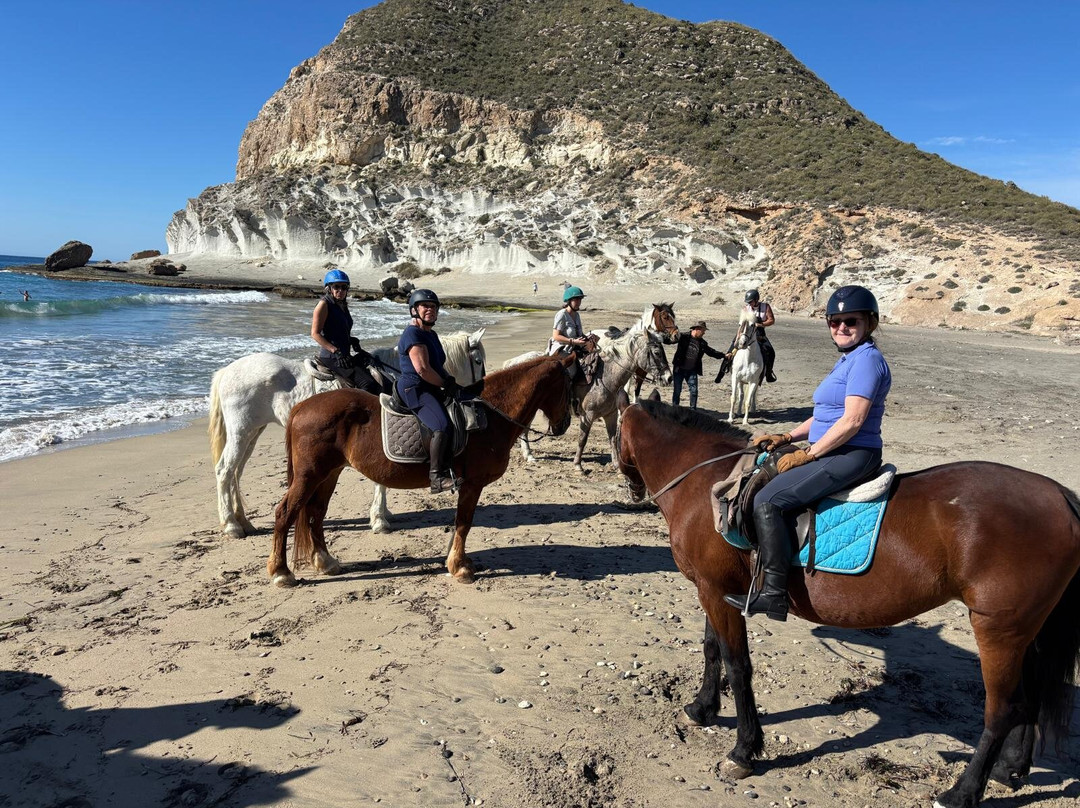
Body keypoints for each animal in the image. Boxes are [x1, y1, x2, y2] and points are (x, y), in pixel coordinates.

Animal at [208, 328, 486, 539]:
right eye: (478, 361)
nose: (479, 391)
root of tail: (226, 372)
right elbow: (380, 480)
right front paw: (379, 519)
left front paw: (383, 514)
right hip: (241, 432)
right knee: (224, 470)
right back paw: (231, 525)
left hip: (253, 432)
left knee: (236, 472)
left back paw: (243, 521)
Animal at [270, 354, 575, 586]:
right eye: (569, 385)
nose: (564, 425)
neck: (489, 414)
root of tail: (302, 407)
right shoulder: (472, 484)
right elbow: (464, 522)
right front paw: (459, 567)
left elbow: (460, 523)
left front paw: (456, 560)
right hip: (310, 476)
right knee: (286, 513)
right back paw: (281, 572)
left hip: (328, 474)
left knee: (316, 513)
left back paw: (325, 562)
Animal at [505, 329, 671, 471]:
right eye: (657, 352)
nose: (668, 378)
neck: (607, 376)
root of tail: (513, 363)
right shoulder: (588, 415)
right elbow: (582, 439)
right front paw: (578, 466)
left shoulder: (610, 415)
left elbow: (612, 439)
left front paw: (617, 465)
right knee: (525, 430)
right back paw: (529, 455)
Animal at [614, 396, 1080, 808]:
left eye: (613, 433)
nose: (633, 490)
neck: (709, 480)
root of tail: (1059, 495)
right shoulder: (713, 590)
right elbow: (713, 651)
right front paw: (701, 708)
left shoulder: (717, 593)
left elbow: (738, 665)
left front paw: (744, 750)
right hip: (1025, 633)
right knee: (1030, 698)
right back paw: (1008, 770)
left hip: (997, 631)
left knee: (1003, 709)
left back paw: (962, 793)